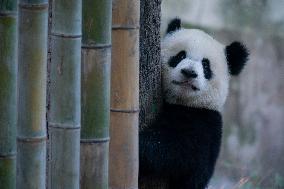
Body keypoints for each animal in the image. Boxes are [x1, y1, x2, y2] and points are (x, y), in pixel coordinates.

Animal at [139, 18, 248, 189]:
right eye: (180, 56)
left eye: (206, 65)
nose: (189, 72)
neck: (181, 101)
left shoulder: (205, 122)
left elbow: (175, 149)